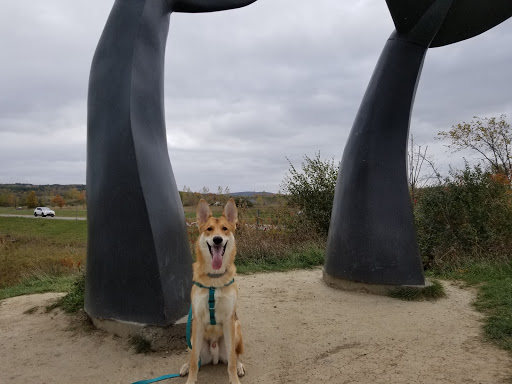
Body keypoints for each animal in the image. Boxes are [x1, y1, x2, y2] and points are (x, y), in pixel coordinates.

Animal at [180, 198, 244, 384]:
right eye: (209, 229)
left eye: (225, 229)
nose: (217, 239)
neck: (215, 279)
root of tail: (215, 355)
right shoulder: (198, 322)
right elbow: (194, 360)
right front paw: (191, 379)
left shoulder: (229, 320)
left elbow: (231, 360)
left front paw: (234, 378)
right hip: (192, 338)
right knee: (194, 358)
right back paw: (185, 366)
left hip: (236, 328)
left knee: (234, 355)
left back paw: (239, 365)